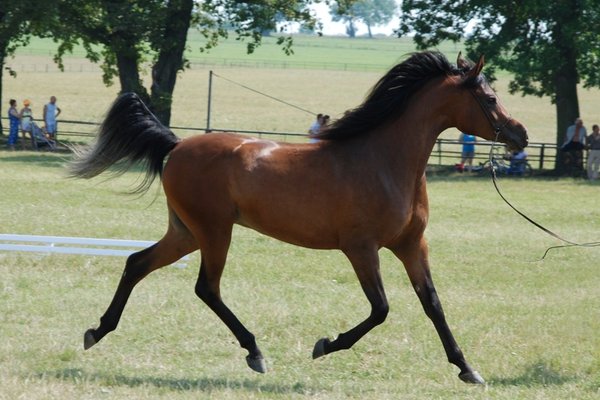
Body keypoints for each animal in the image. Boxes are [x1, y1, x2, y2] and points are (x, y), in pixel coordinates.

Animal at [71, 51, 528, 382]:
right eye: (490, 98)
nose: (520, 135)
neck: (384, 162)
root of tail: (177, 145)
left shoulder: (412, 245)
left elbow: (432, 304)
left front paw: (467, 368)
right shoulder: (361, 249)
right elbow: (380, 309)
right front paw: (325, 345)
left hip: (186, 232)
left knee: (137, 263)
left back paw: (97, 331)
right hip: (214, 231)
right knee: (206, 288)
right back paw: (255, 352)